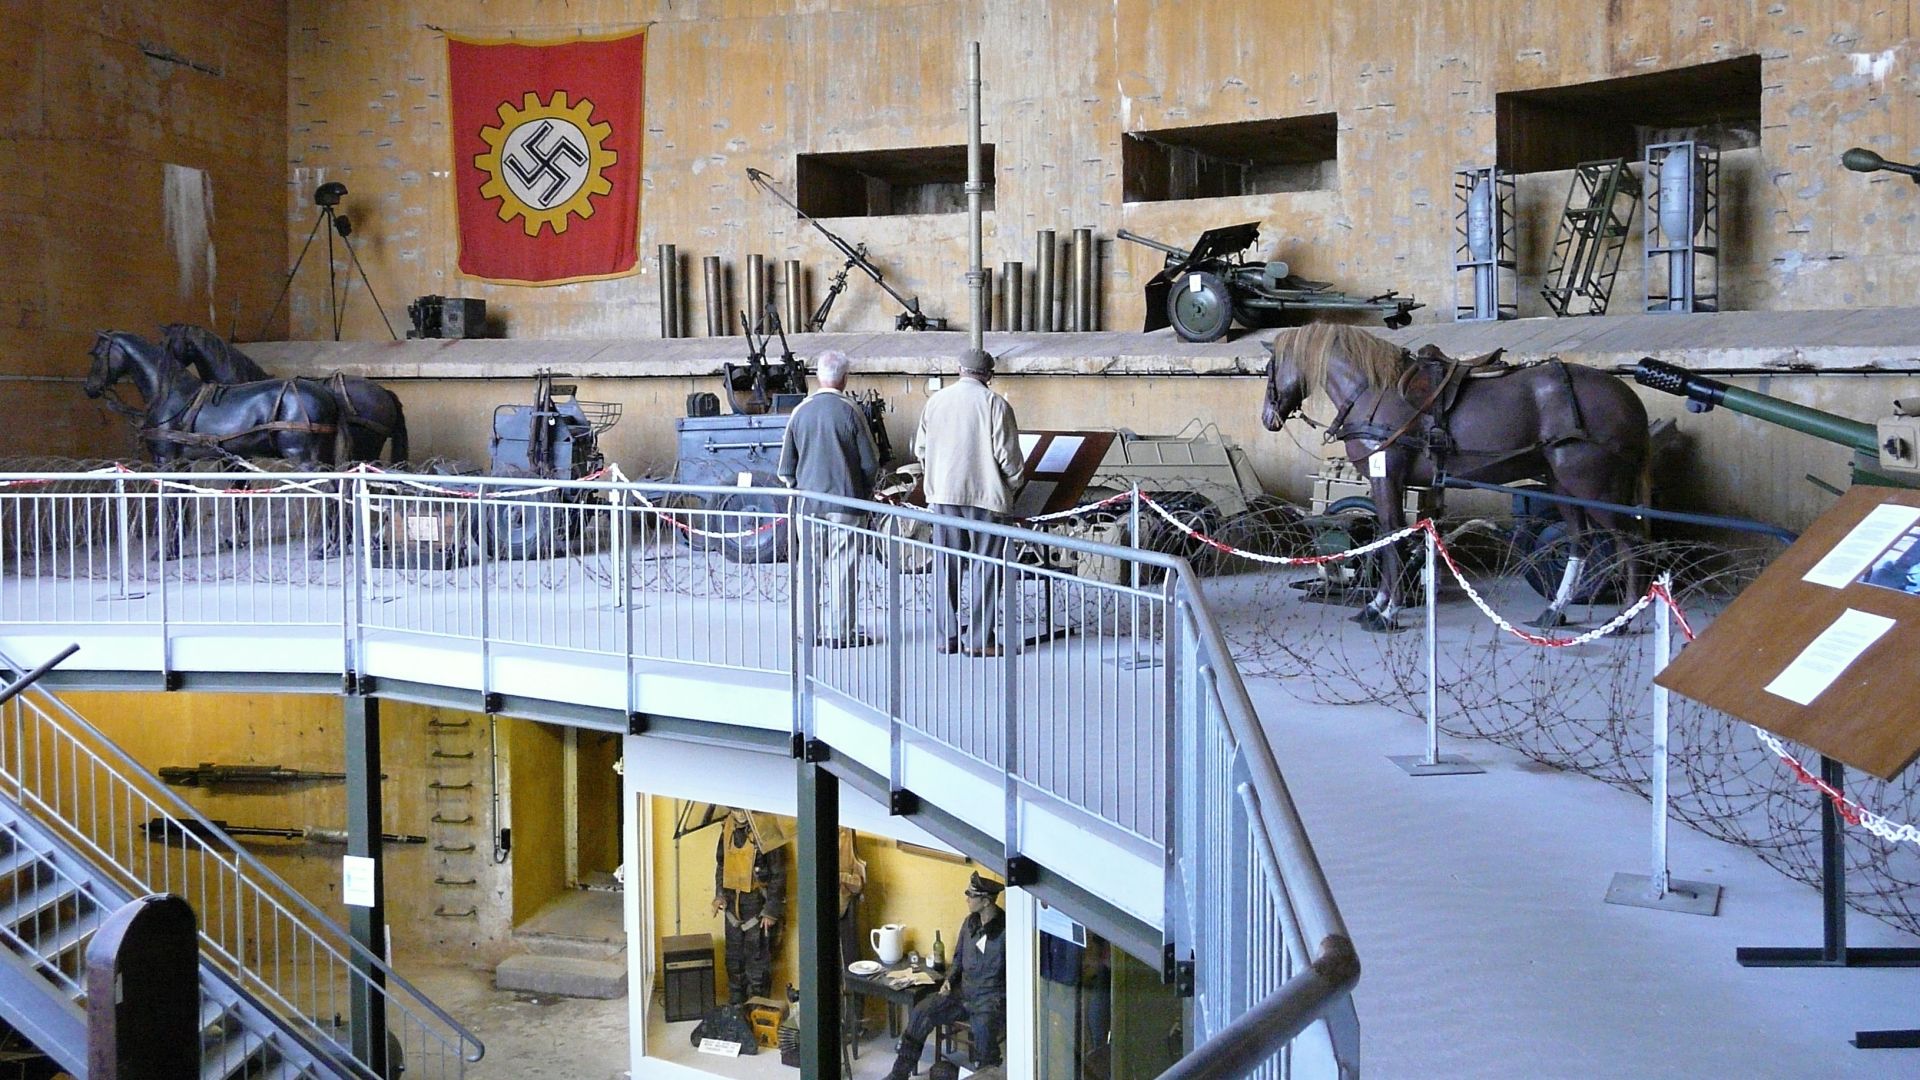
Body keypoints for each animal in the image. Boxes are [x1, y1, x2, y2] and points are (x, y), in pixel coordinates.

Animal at [84, 328, 343, 463]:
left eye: (96, 354)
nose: (89, 387)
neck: (169, 393)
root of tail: (326, 394)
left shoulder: (167, 461)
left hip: (300, 455)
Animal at [1259, 322, 1651, 630]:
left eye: (1269, 369)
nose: (1267, 418)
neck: (1372, 391)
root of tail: (1626, 397)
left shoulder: (1387, 477)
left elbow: (1390, 536)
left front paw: (1388, 611)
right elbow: (1388, 536)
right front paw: (1376, 605)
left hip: (1594, 487)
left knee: (1628, 543)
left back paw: (1622, 619)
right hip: (1561, 485)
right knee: (1579, 541)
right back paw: (1555, 610)